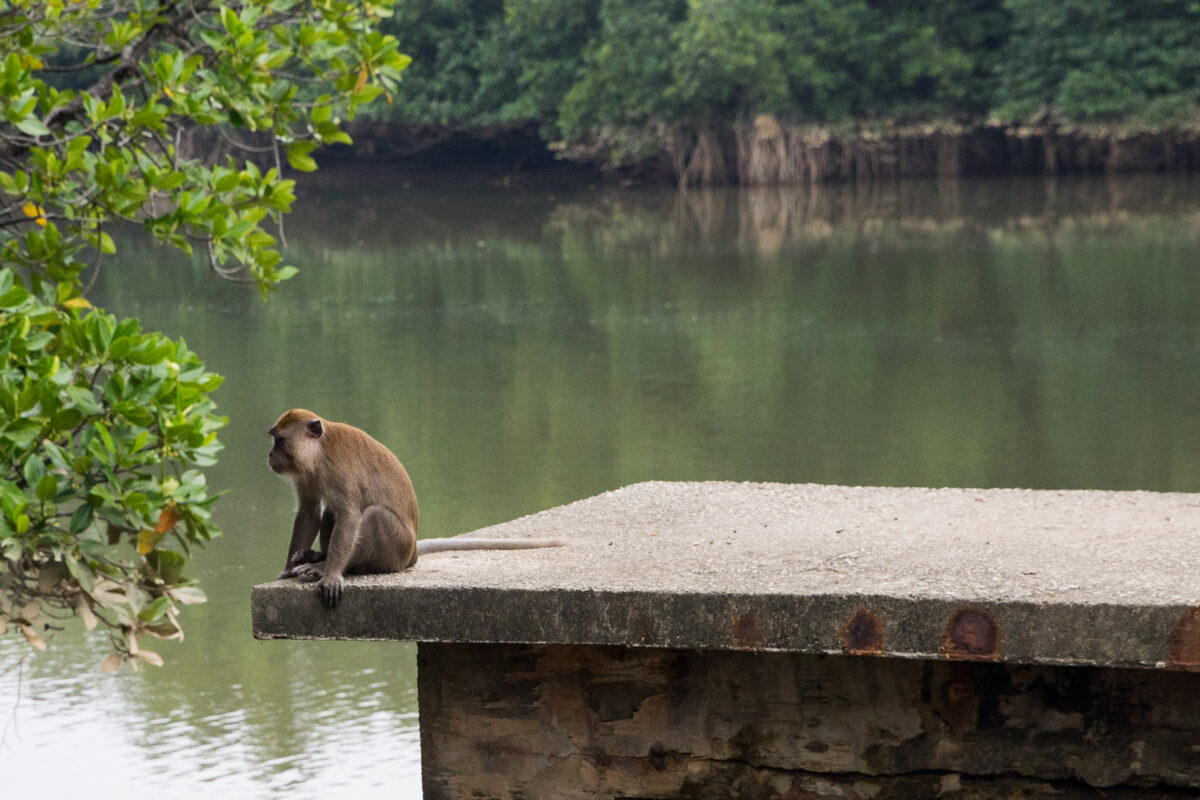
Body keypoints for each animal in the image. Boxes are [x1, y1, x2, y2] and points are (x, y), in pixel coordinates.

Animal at [267, 412, 561, 606]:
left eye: (279, 441)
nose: (269, 456)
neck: (319, 452)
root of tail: (414, 554)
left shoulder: (338, 470)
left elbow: (349, 516)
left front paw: (330, 574)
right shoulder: (307, 472)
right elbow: (309, 511)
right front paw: (287, 569)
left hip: (396, 550)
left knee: (372, 515)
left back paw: (332, 564)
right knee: (332, 513)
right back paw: (317, 556)